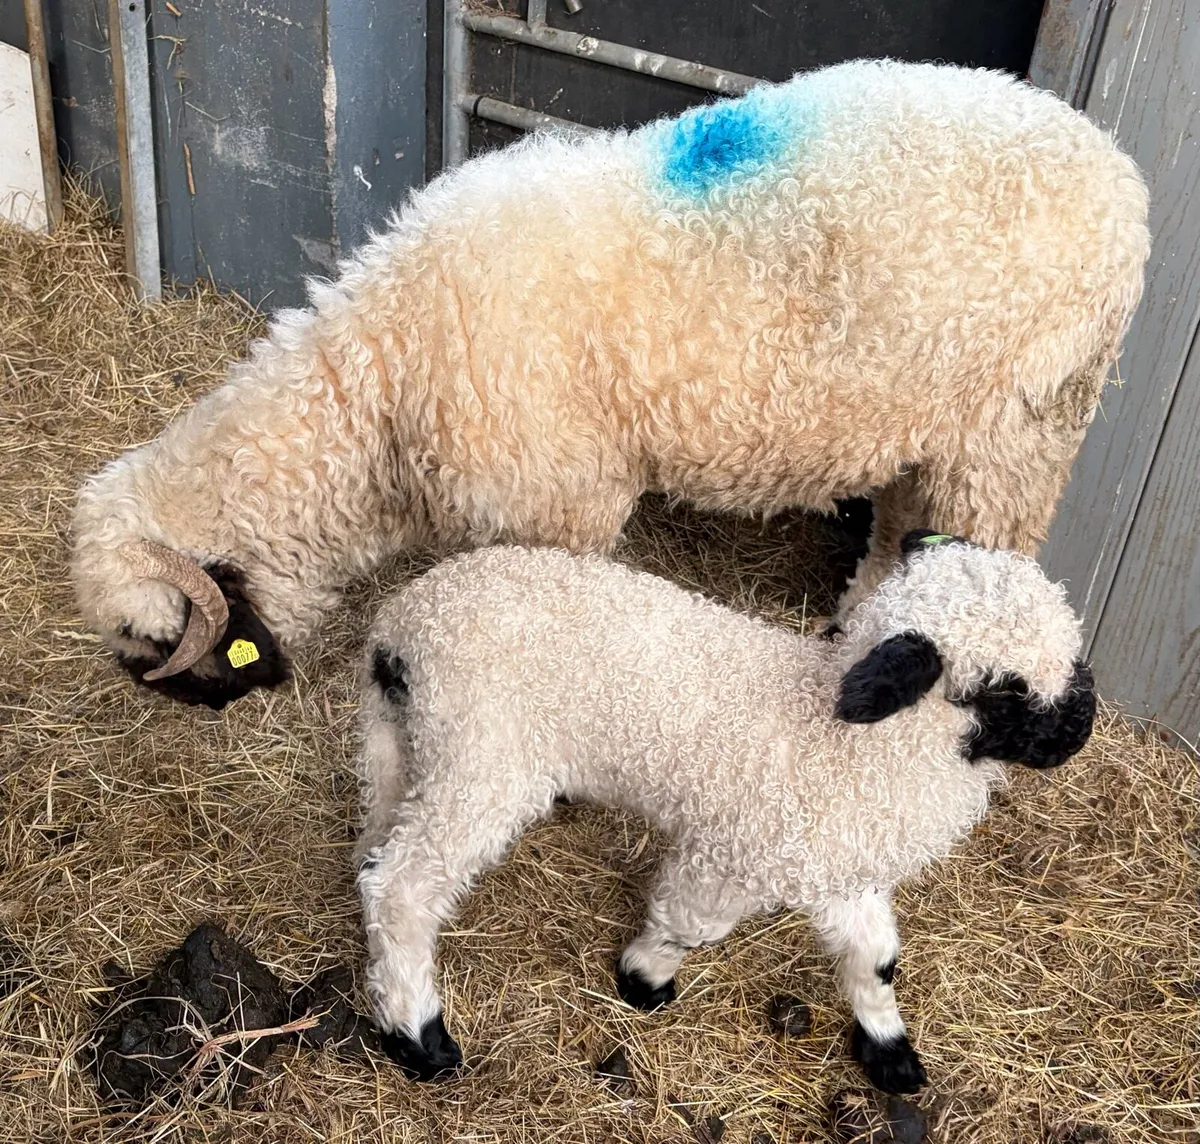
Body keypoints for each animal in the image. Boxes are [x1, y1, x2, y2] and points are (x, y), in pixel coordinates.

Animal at [71, 58, 1148, 709]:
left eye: (148, 636)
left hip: (1019, 434)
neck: (388, 375)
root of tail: (1121, 175)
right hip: (937, 429)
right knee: (894, 543)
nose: (195, 708)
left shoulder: (566, 503)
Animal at [353, 532, 1096, 1091]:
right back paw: (418, 1036)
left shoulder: (835, 867)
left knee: (372, 858)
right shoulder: (731, 854)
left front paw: (889, 1050)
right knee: (403, 889)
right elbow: (687, 925)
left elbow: (876, 955)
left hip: (408, 749)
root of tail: (405, 624)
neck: (848, 740)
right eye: (1005, 690)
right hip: (482, 764)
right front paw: (643, 981)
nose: (1078, 733)